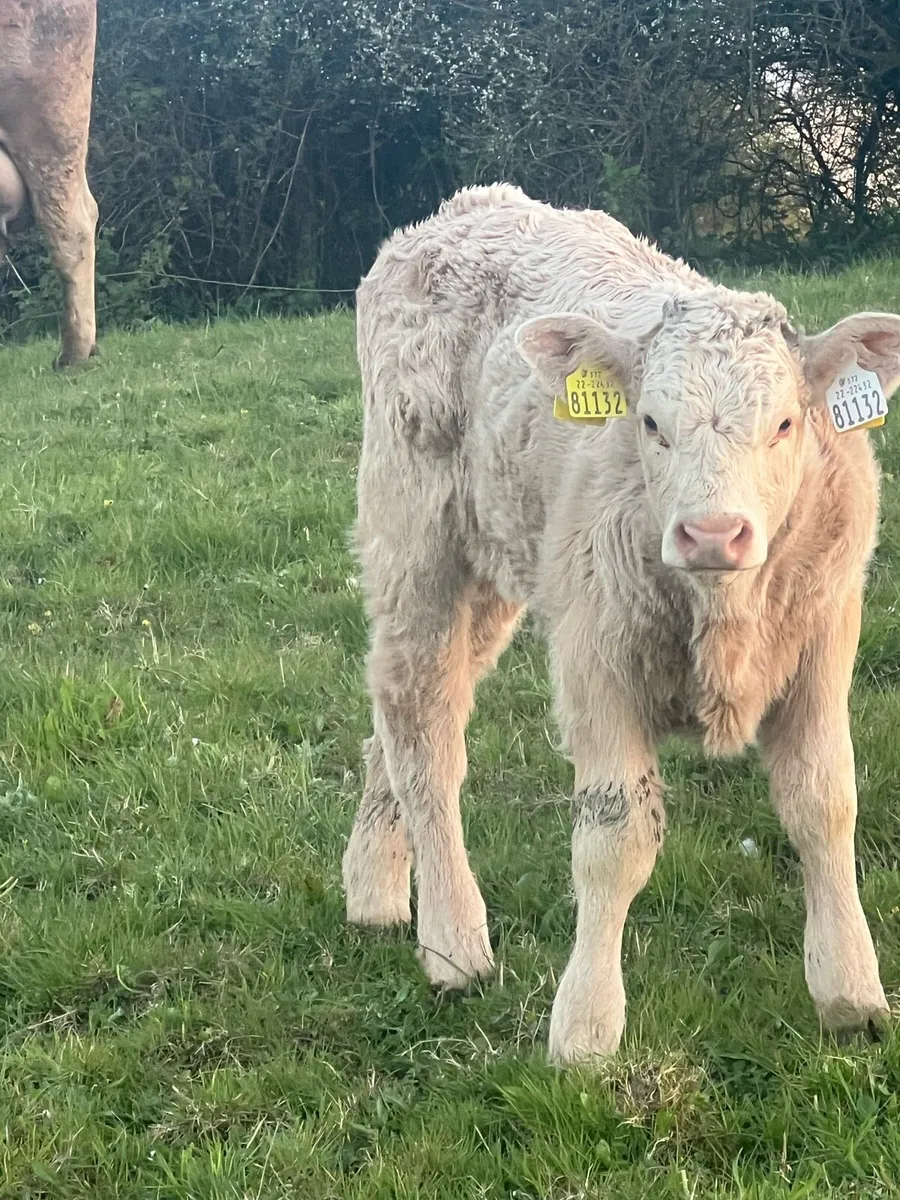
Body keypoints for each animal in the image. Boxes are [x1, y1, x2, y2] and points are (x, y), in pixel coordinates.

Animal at [342, 184, 900, 1063]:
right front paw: (585, 1029)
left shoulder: (824, 641)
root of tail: (465, 206)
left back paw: (374, 889)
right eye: (649, 425)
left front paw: (850, 992)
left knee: (398, 717)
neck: (720, 612)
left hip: (501, 560)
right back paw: (454, 943)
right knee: (422, 722)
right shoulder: (595, 656)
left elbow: (824, 804)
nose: (712, 533)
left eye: (784, 424)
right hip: (415, 535)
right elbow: (616, 839)